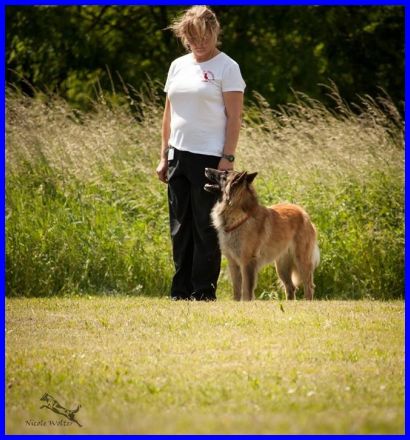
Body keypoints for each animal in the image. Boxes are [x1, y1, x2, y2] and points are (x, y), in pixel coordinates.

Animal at [204, 168, 320, 301]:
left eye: (224, 174)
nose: (206, 169)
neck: (238, 217)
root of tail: (303, 213)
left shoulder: (247, 262)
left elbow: (247, 290)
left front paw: (246, 304)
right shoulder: (233, 263)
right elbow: (237, 290)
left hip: (301, 261)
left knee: (309, 286)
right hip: (282, 267)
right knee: (290, 288)